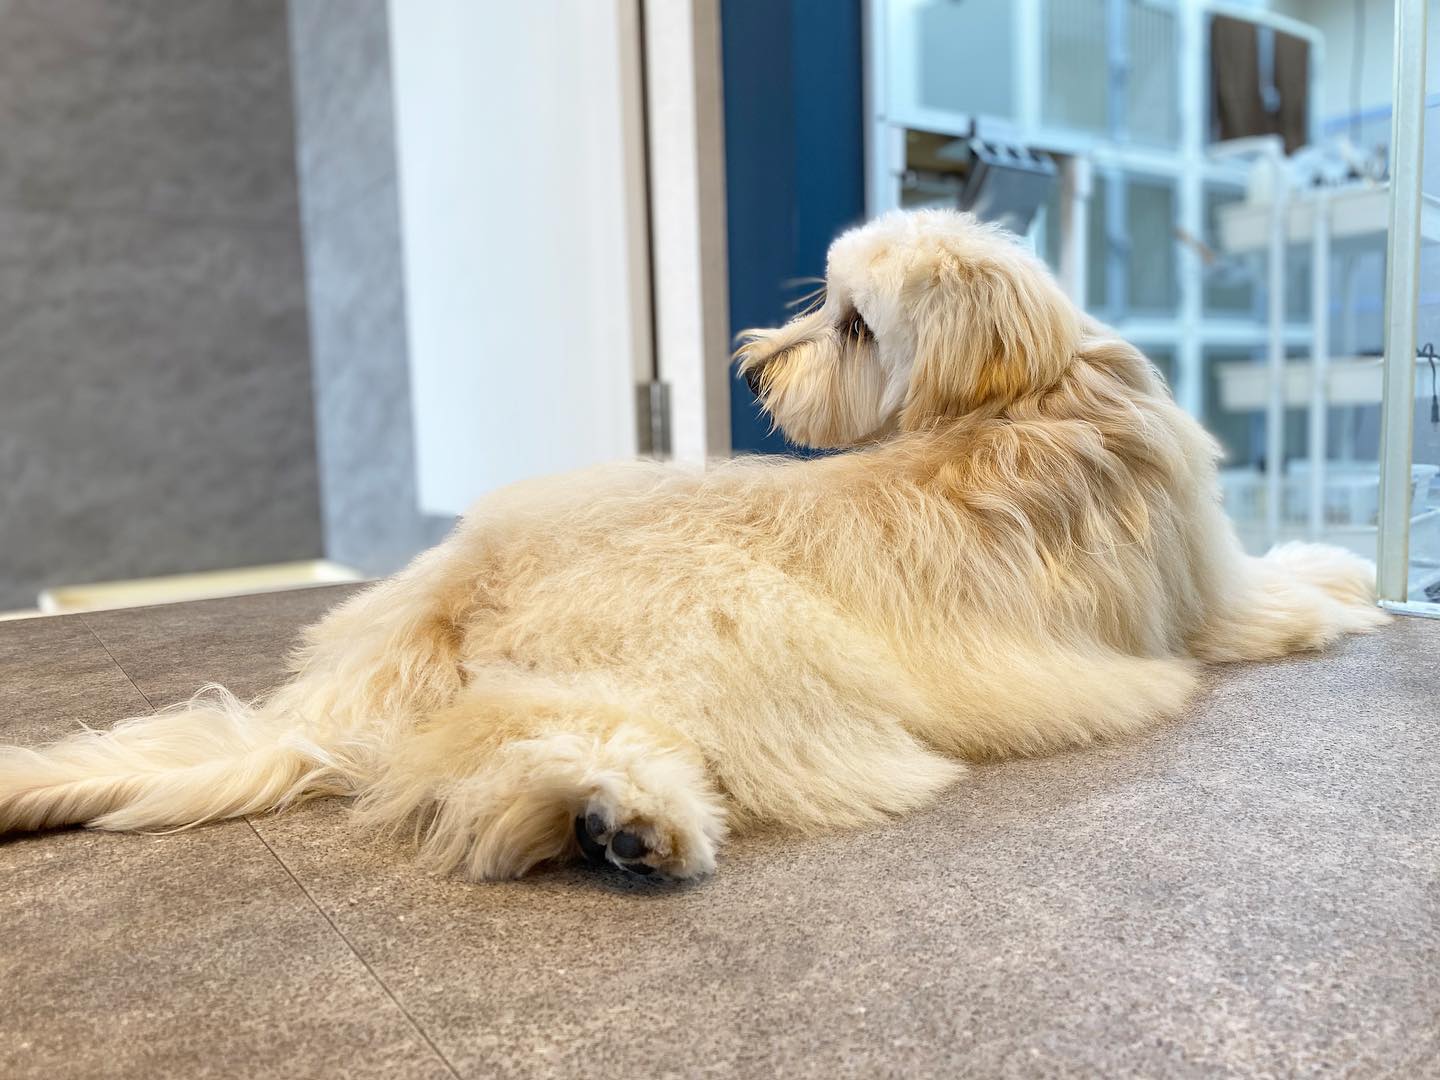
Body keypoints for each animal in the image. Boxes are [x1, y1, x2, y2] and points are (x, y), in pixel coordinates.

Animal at [0, 209, 1387, 880]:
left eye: (856, 325)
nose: (755, 364)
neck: (1030, 390)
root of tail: (455, 591)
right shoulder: (1205, 595)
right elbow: (1282, 592)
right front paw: (1355, 577)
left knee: (501, 761)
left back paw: (605, 823)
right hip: (729, 649)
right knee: (564, 755)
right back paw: (630, 825)